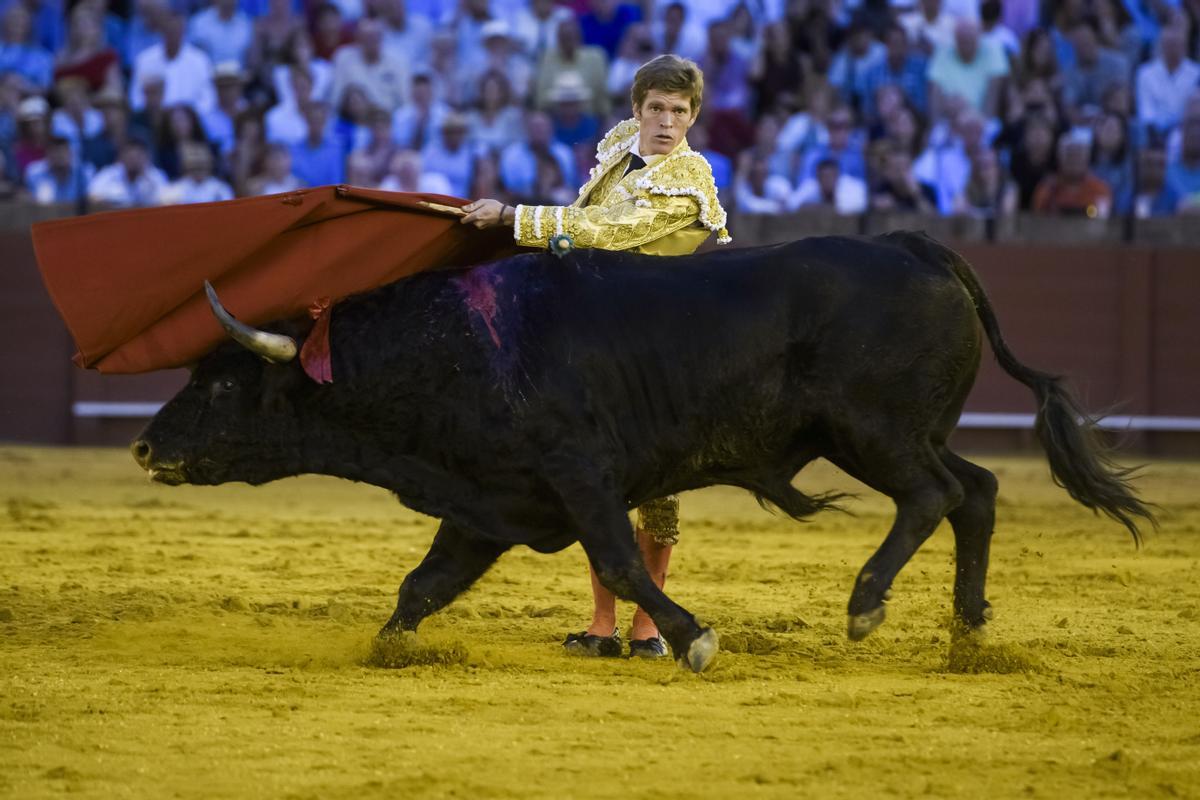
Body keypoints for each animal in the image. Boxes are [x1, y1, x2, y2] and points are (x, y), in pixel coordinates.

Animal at [129, 231, 1152, 676]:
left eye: (217, 385)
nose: (144, 444)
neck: (453, 349)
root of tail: (920, 247)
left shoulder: (580, 475)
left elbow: (620, 560)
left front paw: (693, 637)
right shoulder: (488, 499)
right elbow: (423, 584)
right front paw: (388, 650)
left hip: (873, 433)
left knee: (935, 496)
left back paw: (866, 607)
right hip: (901, 432)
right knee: (975, 491)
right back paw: (969, 634)